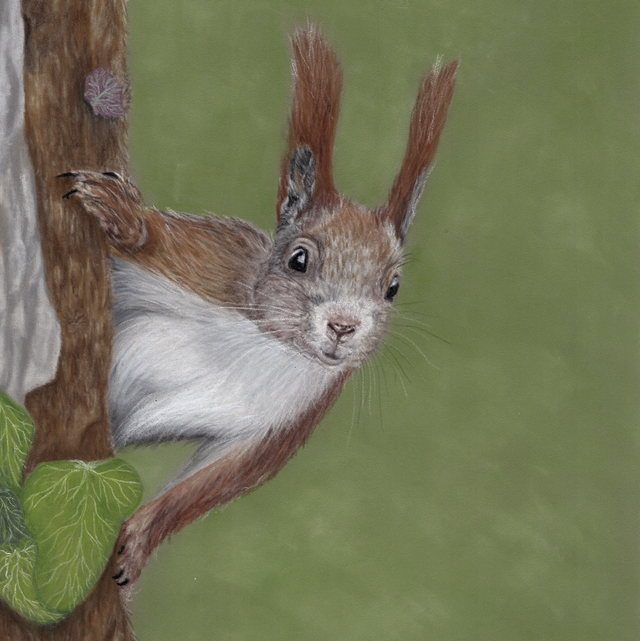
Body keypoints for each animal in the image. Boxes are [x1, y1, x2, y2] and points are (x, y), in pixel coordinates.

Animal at [60, 23, 459, 592]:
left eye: (394, 287)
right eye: (298, 259)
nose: (344, 327)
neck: (267, 344)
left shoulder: (287, 420)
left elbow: (211, 482)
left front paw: (139, 540)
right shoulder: (208, 263)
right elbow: (155, 243)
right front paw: (125, 218)